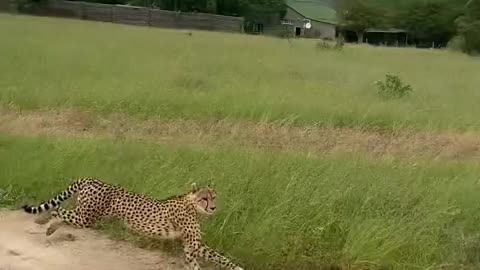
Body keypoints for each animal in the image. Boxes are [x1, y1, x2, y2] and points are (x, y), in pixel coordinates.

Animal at [22, 177, 246, 270]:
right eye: (204, 198)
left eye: (214, 197)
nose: (213, 208)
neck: (191, 204)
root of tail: (90, 179)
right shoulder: (194, 244)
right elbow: (216, 258)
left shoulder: (191, 246)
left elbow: (202, 262)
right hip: (87, 217)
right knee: (58, 209)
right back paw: (44, 221)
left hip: (85, 215)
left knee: (61, 212)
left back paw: (49, 227)